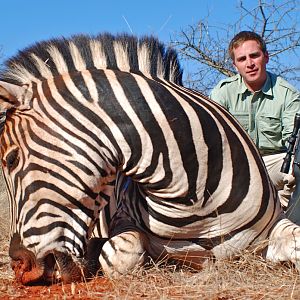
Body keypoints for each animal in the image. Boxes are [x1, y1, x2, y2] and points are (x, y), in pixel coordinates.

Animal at [0, 34, 300, 284]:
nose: (20, 266)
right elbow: (119, 254)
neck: (193, 196)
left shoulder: (270, 228)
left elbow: (295, 244)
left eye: (11, 160)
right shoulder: (124, 225)